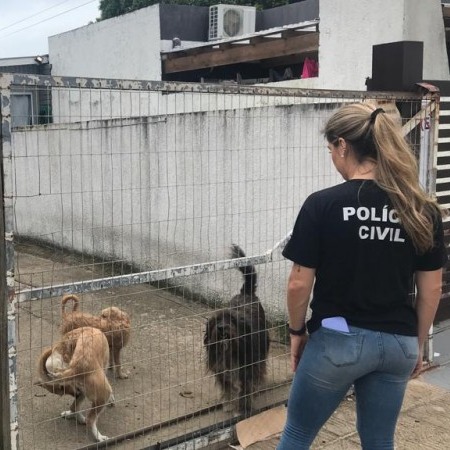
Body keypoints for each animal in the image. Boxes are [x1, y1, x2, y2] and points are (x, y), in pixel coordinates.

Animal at [205, 246, 270, 414]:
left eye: (232, 320)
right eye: (216, 321)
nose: (222, 328)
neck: (231, 350)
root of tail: (246, 292)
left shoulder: (247, 367)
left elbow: (246, 389)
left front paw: (244, 407)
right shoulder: (222, 369)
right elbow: (228, 388)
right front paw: (229, 404)